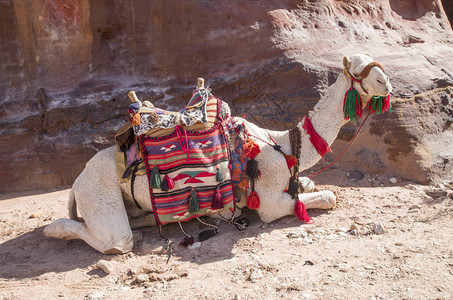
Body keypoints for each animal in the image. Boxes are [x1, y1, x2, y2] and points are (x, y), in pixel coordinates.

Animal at [45, 54, 392, 253]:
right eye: (357, 71)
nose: (386, 81)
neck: (282, 143)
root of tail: (77, 182)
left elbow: (309, 185)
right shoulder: (269, 201)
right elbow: (325, 197)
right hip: (98, 193)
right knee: (115, 242)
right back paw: (54, 230)